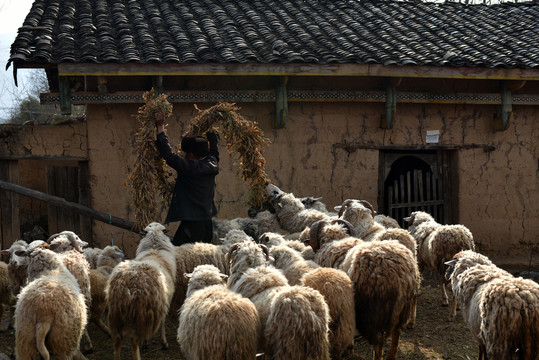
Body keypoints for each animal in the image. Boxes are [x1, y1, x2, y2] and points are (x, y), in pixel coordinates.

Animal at [107, 222, 177, 360]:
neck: (154, 250)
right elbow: (162, 324)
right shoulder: (162, 305)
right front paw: (163, 343)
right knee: (134, 340)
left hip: (117, 314)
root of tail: (127, 284)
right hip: (140, 313)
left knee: (117, 339)